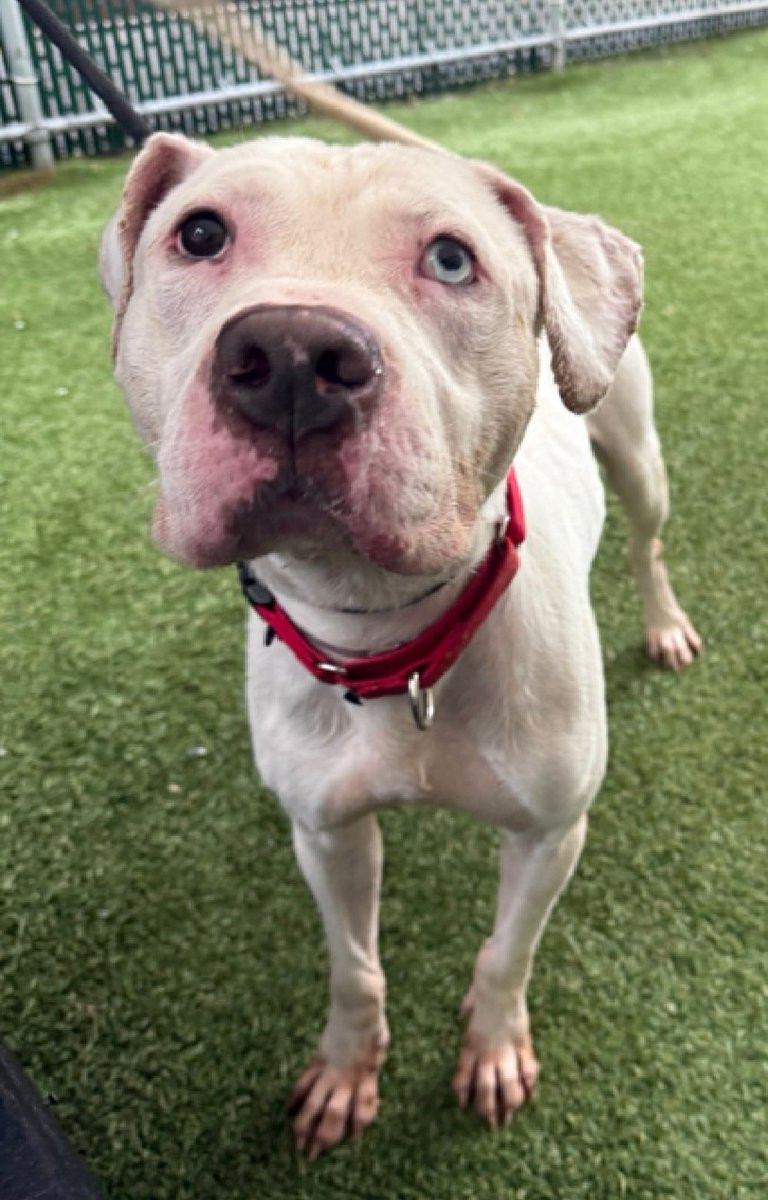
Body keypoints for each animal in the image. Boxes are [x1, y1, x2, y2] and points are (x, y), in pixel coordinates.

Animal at [100, 132, 700, 1159]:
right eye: (201, 234)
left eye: (452, 259)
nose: (292, 352)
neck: (389, 633)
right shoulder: (325, 831)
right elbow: (355, 968)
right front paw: (346, 1073)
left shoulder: (551, 833)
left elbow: (508, 951)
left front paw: (491, 1048)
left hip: (634, 448)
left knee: (645, 540)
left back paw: (662, 624)